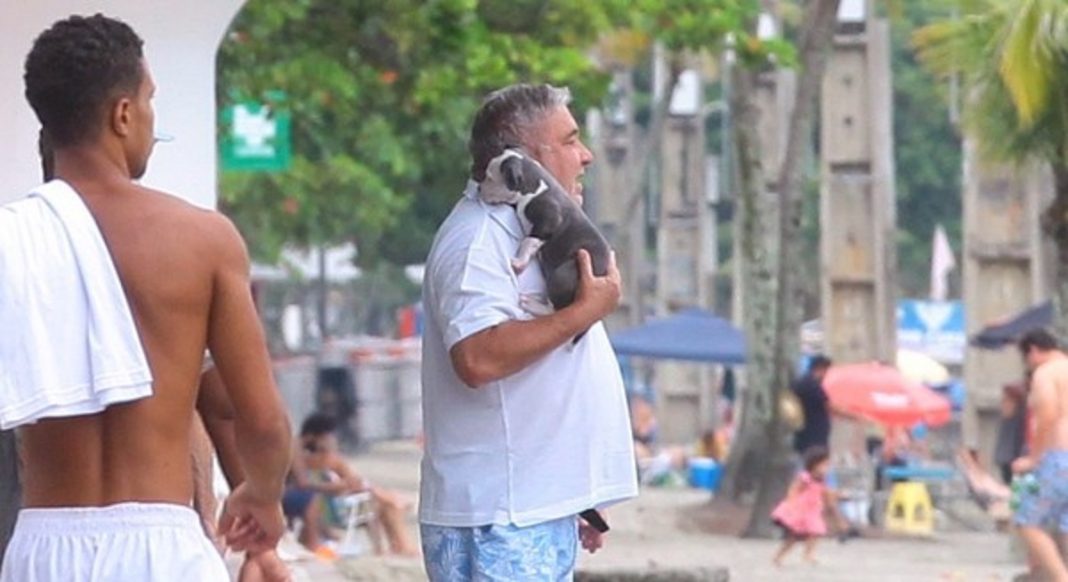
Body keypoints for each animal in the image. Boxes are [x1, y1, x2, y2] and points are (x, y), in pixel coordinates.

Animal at [482, 146, 615, 335]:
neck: (535, 184)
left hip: (562, 274)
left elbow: (527, 241)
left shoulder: (548, 223)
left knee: (557, 310)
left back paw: (532, 304)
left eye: (490, 178)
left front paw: (519, 263)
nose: (479, 188)